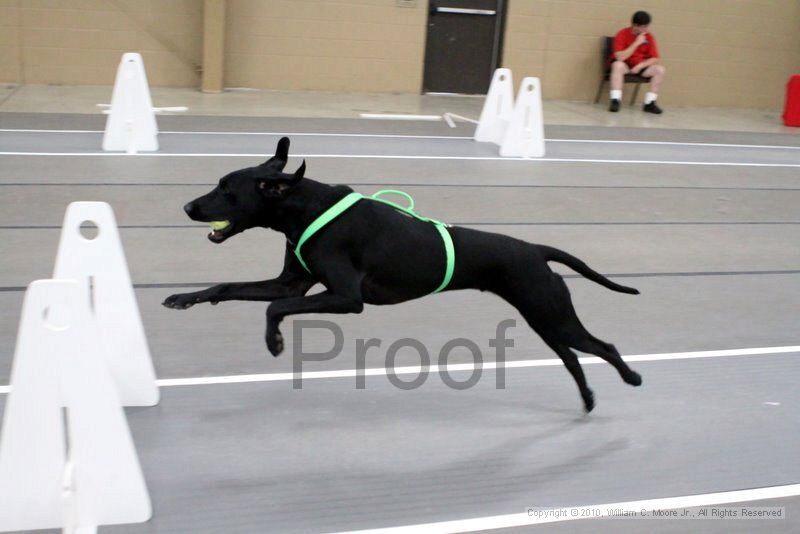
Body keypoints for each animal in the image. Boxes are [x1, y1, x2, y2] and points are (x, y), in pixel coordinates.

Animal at [164, 137, 644, 410]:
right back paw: (588, 398)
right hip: (545, 318)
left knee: (602, 346)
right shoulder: (292, 282)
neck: (303, 207)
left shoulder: (346, 298)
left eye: (227, 189)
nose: (187, 206)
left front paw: (275, 342)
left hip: (552, 313)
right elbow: (231, 287)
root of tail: (536, 250)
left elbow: (276, 309)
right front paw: (184, 298)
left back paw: (631, 377)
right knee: (572, 356)